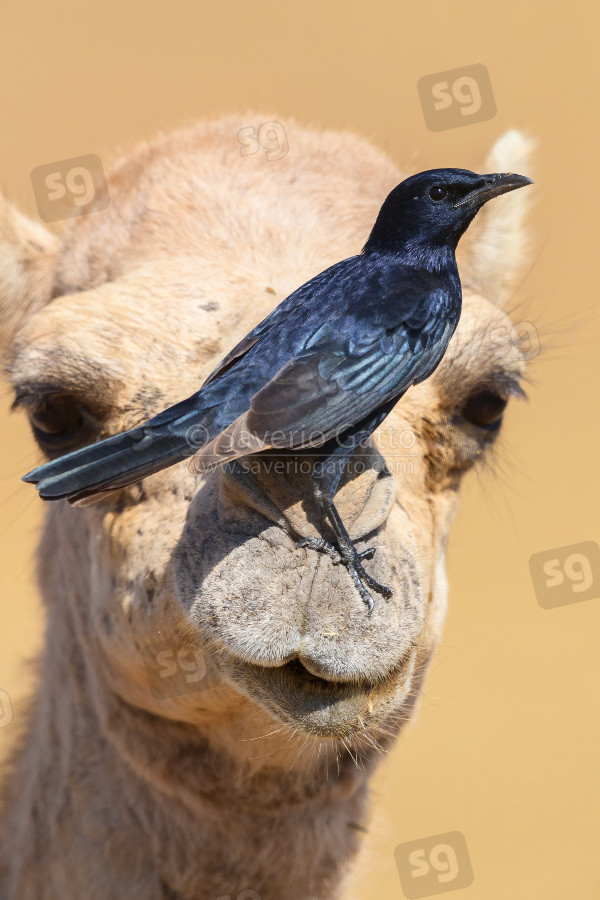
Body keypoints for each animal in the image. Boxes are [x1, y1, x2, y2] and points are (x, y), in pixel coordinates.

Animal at [0, 116, 532, 896]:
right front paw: (357, 568)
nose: (503, 184)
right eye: (53, 412)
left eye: (487, 404)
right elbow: (326, 485)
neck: (412, 263)